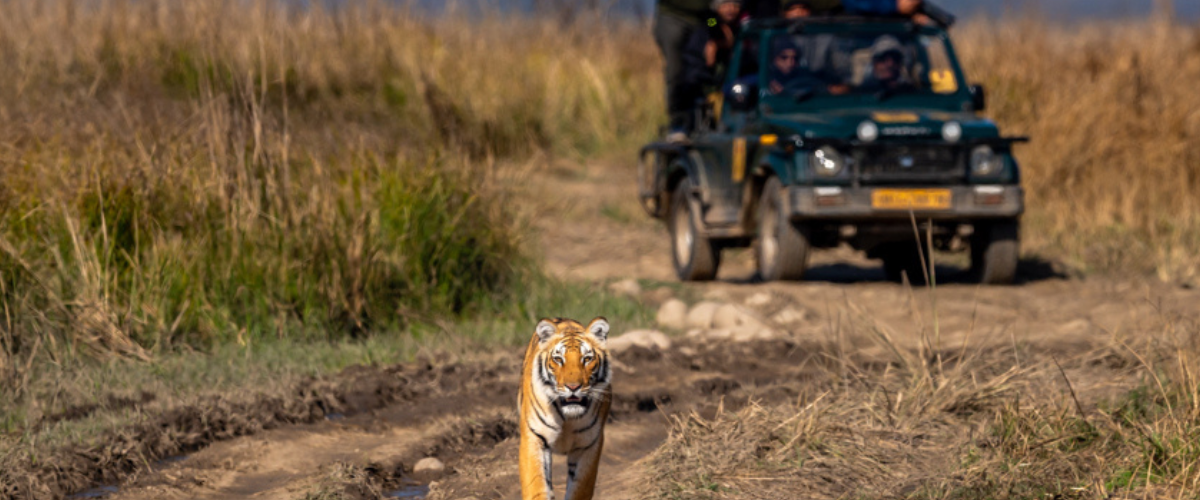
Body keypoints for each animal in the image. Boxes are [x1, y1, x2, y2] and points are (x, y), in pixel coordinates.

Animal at [516, 316, 609, 496]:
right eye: (558, 359)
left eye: (587, 359)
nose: (573, 387)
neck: (568, 417)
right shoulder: (534, 437)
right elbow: (537, 486)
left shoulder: (589, 443)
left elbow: (579, 489)